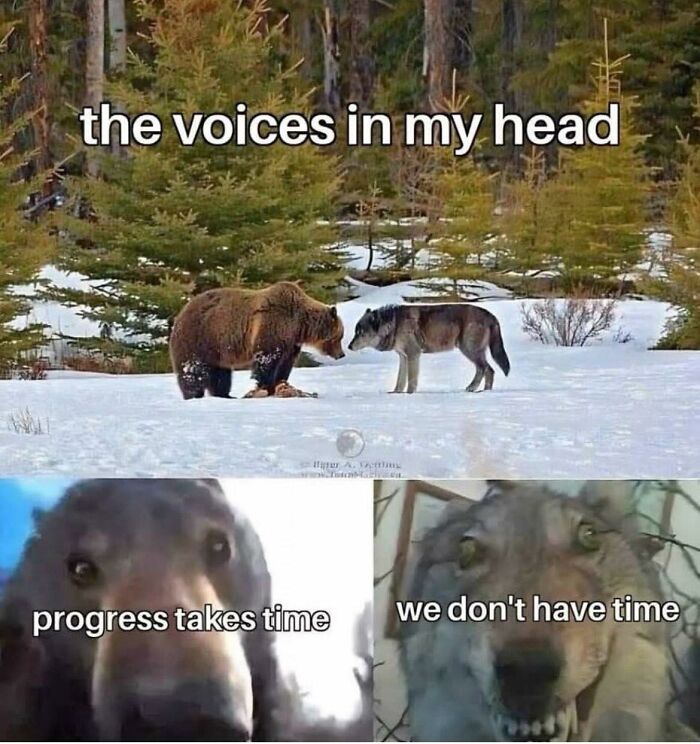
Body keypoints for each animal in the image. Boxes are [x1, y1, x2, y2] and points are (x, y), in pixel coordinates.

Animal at [169, 281, 345, 400]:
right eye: (340, 336)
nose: (341, 354)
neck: (299, 324)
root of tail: (180, 313)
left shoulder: (291, 341)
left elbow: (285, 364)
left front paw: (280, 384)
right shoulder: (274, 323)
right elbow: (267, 358)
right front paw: (264, 386)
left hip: (217, 350)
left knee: (221, 374)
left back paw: (225, 395)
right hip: (200, 337)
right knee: (192, 371)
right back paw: (194, 395)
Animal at [348, 303, 510, 393]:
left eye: (360, 333)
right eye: (356, 332)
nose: (349, 346)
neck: (395, 324)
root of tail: (491, 315)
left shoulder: (413, 354)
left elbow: (411, 380)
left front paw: (409, 395)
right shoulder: (403, 356)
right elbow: (400, 380)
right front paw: (396, 393)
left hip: (469, 350)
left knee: (485, 369)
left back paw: (473, 389)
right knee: (489, 370)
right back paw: (484, 391)